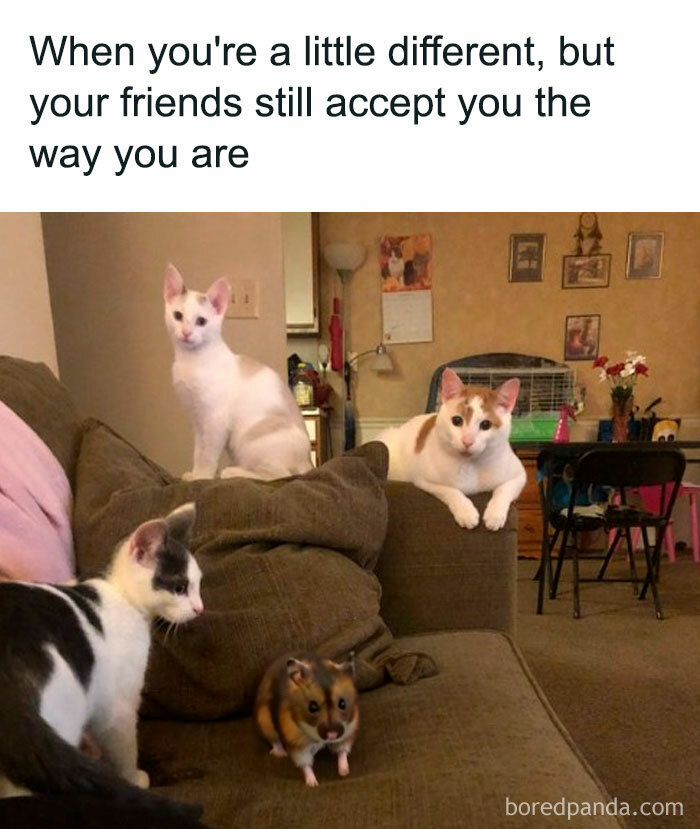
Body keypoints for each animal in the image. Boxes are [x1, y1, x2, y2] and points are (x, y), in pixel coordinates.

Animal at [0, 504, 202, 816]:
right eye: (180, 588)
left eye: (198, 585)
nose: (199, 608)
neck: (122, 596)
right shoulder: (119, 705)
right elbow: (123, 746)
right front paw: (134, 777)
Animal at [164, 266, 312, 482]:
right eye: (178, 316)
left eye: (201, 321)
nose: (186, 332)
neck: (191, 361)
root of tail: (308, 462)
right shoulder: (198, 421)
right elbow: (198, 452)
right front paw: (194, 474)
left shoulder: (214, 420)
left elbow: (207, 455)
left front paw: (203, 476)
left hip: (249, 439)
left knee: (279, 475)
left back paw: (233, 472)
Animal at [254, 652, 358, 784]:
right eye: (312, 707)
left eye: (342, 704)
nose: (332, 735)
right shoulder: (297, 745)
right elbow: (305, 765)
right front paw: (313, 784)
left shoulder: (347, 732)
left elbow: (342, 752)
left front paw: (344, 772)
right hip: (265, 722)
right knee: (275, 741)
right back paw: (281, 753)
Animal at [378, 368, 524, 532]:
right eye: (457, 420)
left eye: (486, 425)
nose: (467, 441)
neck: (470, 465)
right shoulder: (425, 481)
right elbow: (451, 491)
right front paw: (466, 511)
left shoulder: (519, 476)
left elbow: (504, 490)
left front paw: (495, 515)